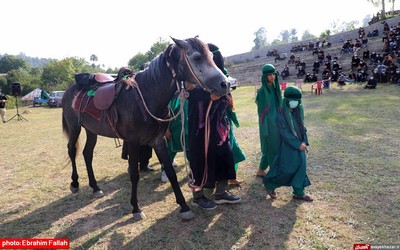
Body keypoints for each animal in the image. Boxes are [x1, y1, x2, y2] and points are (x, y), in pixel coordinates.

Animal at [61, 37, 230, 221]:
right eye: (197, 57)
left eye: (212, 57)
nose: (225, 84)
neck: (146, 97)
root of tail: (69, 90)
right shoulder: (134, 142)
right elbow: (134, 174)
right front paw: (136, 208)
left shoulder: (158, 140)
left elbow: (170, 171)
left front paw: (184, 206)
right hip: (75, 127)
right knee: (71, 150)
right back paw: (75, 183)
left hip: (92, 130)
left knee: (87, 153)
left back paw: (95, 187)